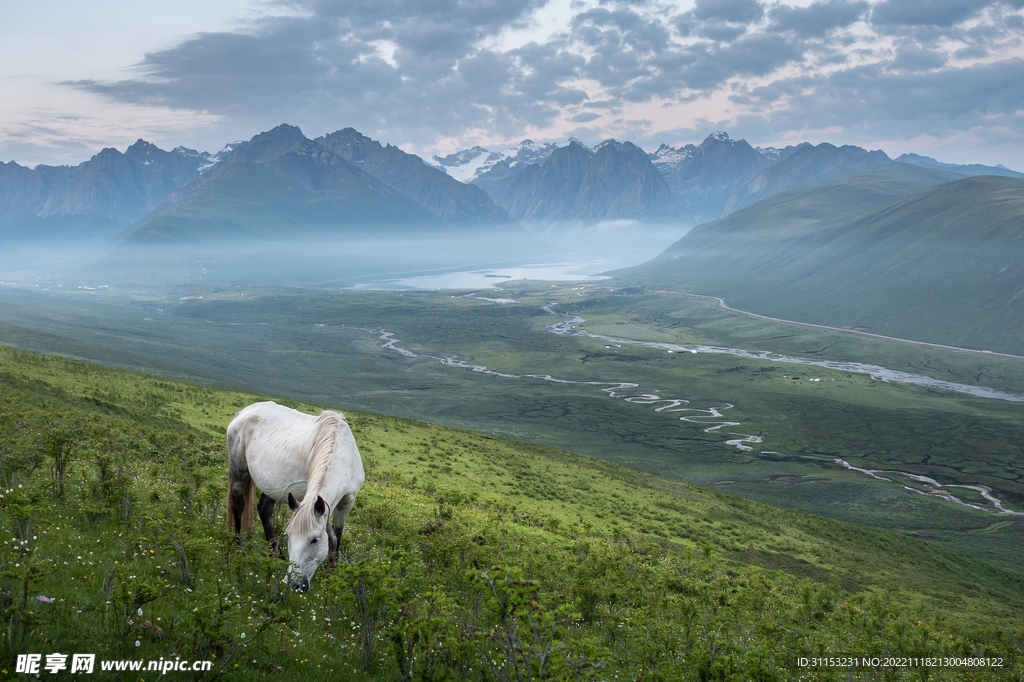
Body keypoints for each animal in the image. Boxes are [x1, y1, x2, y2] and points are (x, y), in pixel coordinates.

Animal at [227, 401, 364, 585]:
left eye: (314, 540)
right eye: (289, 536)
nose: (294, 583)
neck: (343, 458)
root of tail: (244, 411)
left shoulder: (347, 502)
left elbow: (337, 535)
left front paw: (333, 572)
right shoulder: (316, 501)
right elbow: (332, 537)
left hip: (274, 486)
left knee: (264, 510)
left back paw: (277, 556)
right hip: (239, 471)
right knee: (238, 504)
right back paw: (239, 547)